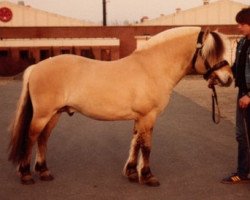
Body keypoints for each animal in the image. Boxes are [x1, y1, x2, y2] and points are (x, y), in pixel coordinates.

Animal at [8, 26, 233, 186]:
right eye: (212, 52)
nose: (229, 79)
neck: (152, 67)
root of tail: (37, 66)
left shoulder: (139, 117)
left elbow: (135, 143)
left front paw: (132, 172)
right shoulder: (148, 116)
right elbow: (146, 146)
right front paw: (148, 176)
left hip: (54, 114)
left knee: (43, 139)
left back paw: (44, 171)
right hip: (42, 115)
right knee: (31, 138)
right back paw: (26, 175)